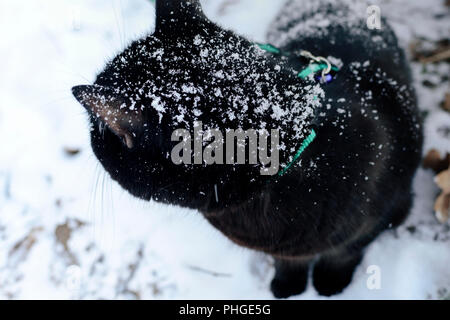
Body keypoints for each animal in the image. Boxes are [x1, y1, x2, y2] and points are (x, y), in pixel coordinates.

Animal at [73, 0, 422, 298]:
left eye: (100, 134)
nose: (90, 134)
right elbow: (288, 261)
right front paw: (288, 285)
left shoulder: (375, 221)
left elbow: (344, 253)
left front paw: (331, 283)